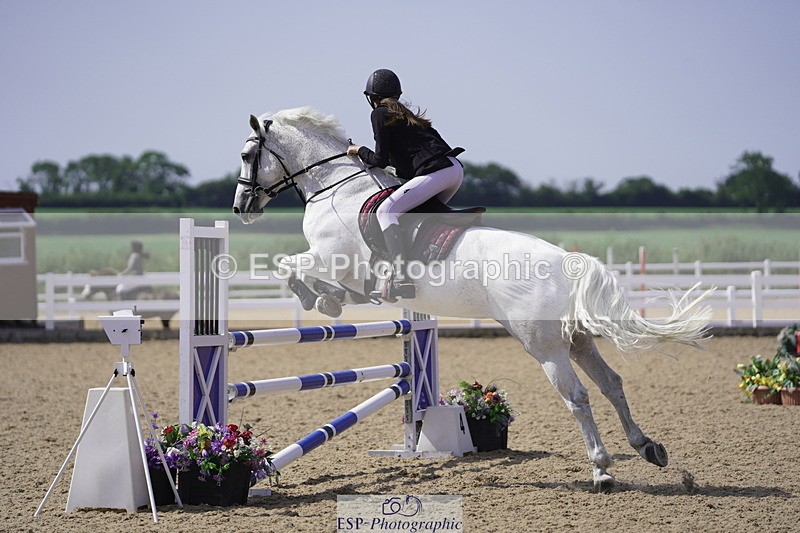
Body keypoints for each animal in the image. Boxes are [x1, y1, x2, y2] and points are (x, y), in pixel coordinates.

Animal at [231, 106, 713, 490]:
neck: (336, 187)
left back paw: (603, 471)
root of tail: (567, 261)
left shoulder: (331, 258)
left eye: (246, 155)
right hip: (576, 340)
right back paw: (648, 447)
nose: (241, 208)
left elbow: (290, 266)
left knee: (577, 397)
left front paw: (318, 300)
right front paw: (326, 300)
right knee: (611, 383)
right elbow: (310, 276)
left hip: (544, 346)